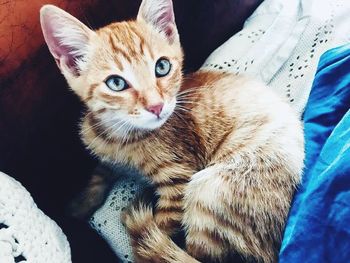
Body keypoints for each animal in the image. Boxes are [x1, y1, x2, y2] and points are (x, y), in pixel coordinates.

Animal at [40, 1, 304, 262]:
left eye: (162, 67)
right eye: (116, 83)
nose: (156, 106)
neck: (121, 138)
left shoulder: (178, 179)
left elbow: (160, 230)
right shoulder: (108, 154)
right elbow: (99, 173)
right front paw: (79, 205)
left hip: (211, 191)